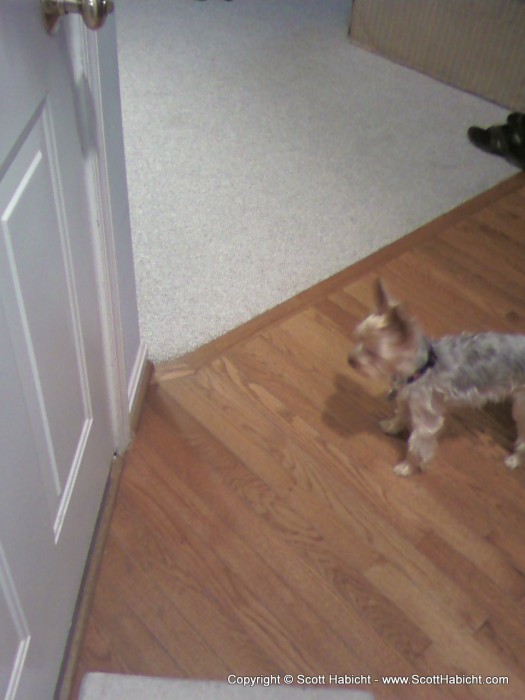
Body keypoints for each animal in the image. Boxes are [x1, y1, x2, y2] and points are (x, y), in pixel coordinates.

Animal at [346, 278, 524, 476]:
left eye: (372, 352)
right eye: (359, 339)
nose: (350, 361)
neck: (420, 369)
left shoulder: (426, 418)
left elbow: (416, 445)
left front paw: (408, 467)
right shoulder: (407, 397)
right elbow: (401, 413)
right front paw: (392, 427)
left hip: (521, 405)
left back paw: (514, 460)